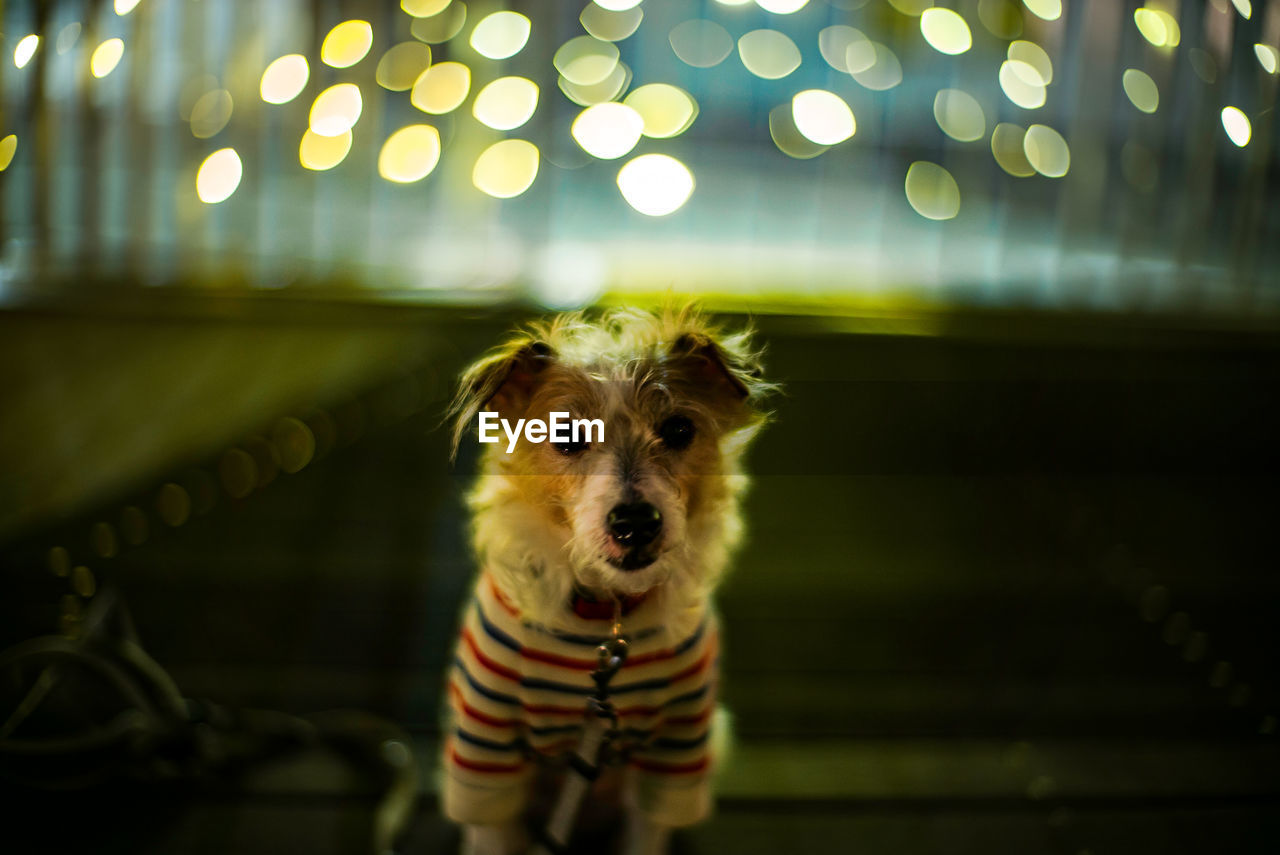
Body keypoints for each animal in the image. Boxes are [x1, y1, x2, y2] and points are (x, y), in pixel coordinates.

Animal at [445, 307, 773, 855]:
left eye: (678, 428)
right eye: (565, 435)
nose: (635, 522)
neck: (605, 613)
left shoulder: (676, 755)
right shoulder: (485, 753)